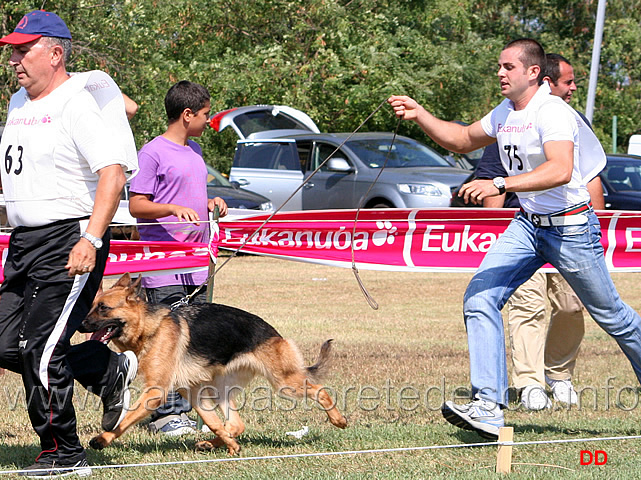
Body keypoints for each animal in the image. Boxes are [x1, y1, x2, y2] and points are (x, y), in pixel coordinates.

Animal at [83, 274, 350, 454]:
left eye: (103, 308)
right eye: (92, 306)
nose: (81, 325)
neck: (151, 327)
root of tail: (275, 333)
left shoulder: (156, 391)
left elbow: (125, 419)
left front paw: (102, 439)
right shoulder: (192, 391)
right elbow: (212, 423)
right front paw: (230, 445)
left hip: (284, 382)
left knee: (320, 390)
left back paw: (339, 420)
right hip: (219, 388)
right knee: (235, 424)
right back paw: (216, 443)